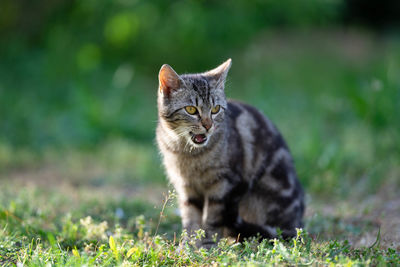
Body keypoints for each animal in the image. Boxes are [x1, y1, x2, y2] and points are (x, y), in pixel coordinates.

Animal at [155, 59, 304, 249]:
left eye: (216, 109)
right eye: (191, 109)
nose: (208, 125)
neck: (190, 154)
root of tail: (297, 223)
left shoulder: (224, 184)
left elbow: (212, 219)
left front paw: (208, 244)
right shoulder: (186, 187)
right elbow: (191, 219)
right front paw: (188, 246)